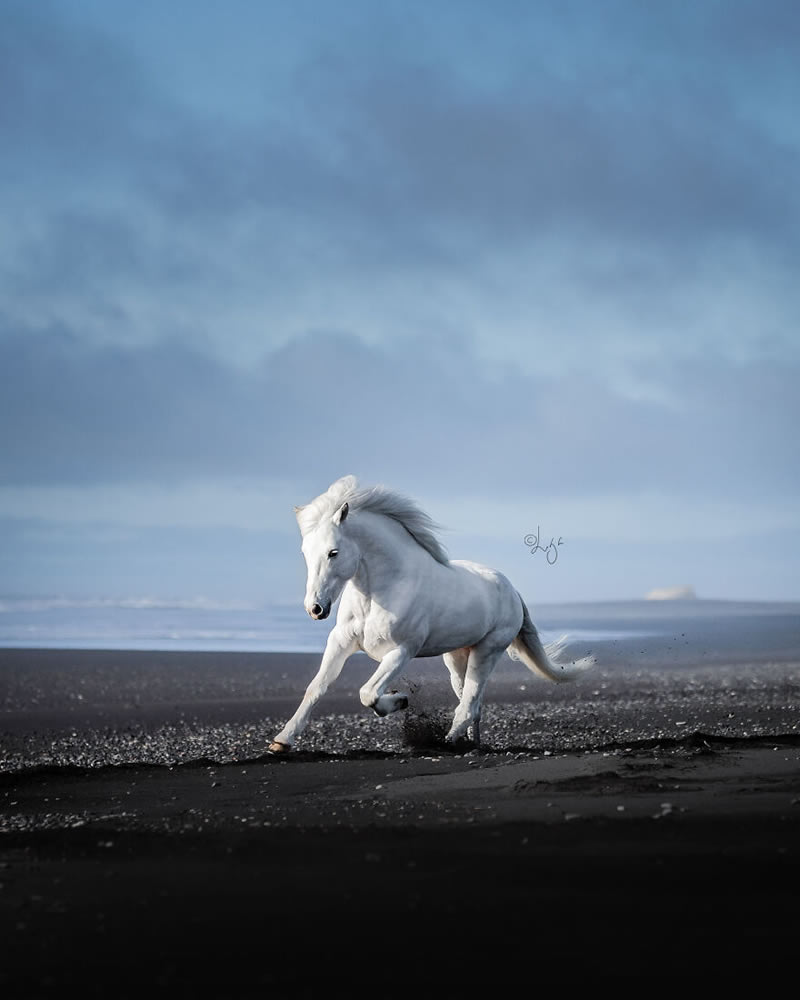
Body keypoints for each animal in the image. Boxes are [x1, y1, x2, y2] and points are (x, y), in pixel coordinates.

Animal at [272, 480, 592, 752]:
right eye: (305, 552)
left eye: (333, 552)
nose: (315, 608)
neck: (379, 594)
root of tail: (513, 591)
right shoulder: (341, 642)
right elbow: (316, 687)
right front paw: (282, 741)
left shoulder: (402, 651)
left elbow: (368, 693)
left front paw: (400, 700)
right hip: (457, 657)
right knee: (472, 702)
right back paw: (470, 742)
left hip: (487, 651)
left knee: (469, 702)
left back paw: (449, 740)